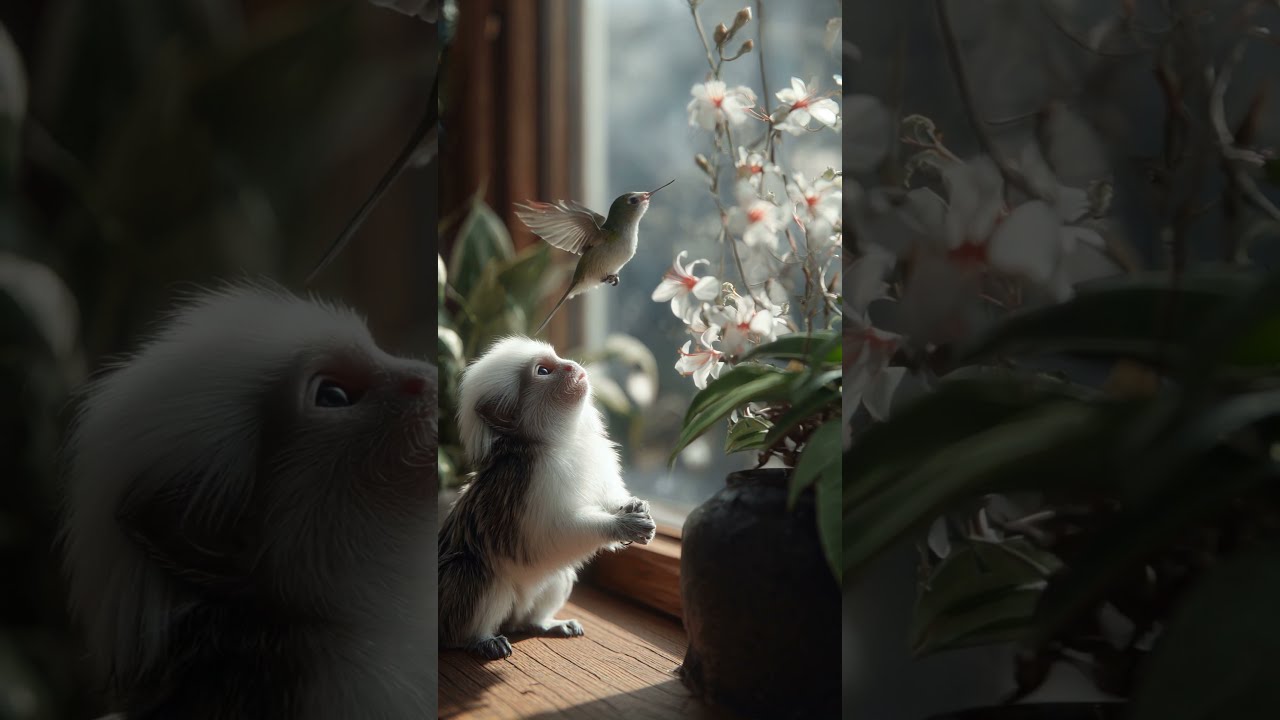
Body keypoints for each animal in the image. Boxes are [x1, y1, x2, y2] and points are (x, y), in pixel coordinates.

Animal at [438, 336, 656, 660]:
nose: (571, 365)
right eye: (543, 371)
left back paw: (541, 623)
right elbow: (549, 536)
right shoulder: (531, 481)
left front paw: (633, 506)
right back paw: (478, 639)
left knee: (556, 576)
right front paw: (621, 526)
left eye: (558, 358)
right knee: (476, 572)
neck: (561, 443)